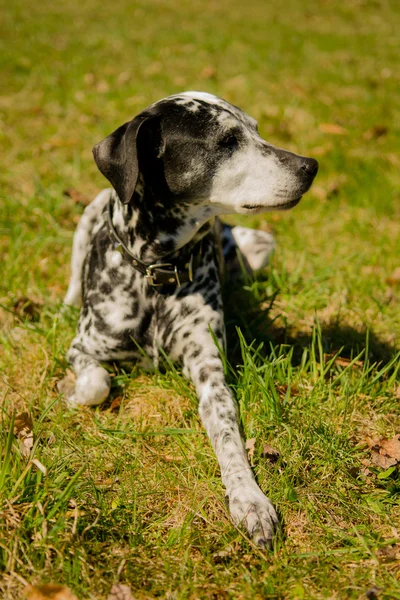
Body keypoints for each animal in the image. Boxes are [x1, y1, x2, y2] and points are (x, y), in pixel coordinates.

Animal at [63, 90, 318, 548]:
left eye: (255, 130)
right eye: (227, 141)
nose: (311, 165)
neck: (156, 273)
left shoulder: (210, 372)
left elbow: (229, 436)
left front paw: (250, 500)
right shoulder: (82, 347)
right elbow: (96, 384)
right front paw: (71, 393)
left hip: (260, 245)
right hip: (86, 218)